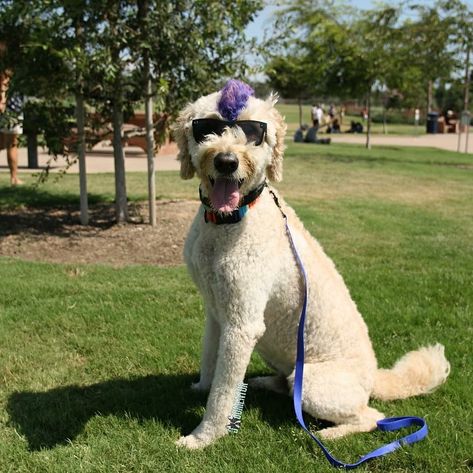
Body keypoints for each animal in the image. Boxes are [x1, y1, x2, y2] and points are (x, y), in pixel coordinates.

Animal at [171, 81, 448, 450]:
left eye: (253, 132)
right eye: (207, 127)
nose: (226, 161)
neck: (229, 220)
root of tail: (374, 378)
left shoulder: (242, 323)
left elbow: (224, 390)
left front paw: (204, 436)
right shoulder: (216, 310)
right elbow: (209, 357)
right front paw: (201, 386)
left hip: (317, 386)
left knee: (371, 417)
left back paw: (331, 433)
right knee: (292, 383)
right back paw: (267, 383)